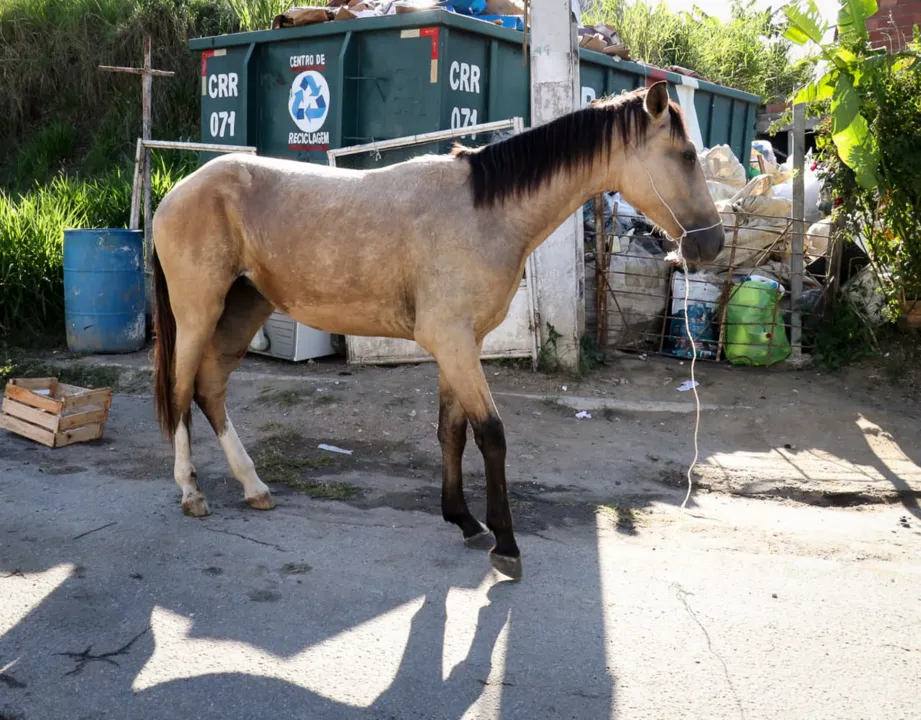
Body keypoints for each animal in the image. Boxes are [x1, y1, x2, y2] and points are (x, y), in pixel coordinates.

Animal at [153, 83, 724, 580]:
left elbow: (452, 431)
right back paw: (191, 493)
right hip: (198, 314)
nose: (712, 243)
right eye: (686, 156)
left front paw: (465, 521)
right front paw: (506, 545)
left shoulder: (462, 345)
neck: (483, 212)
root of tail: (177, 191)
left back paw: (253, 486)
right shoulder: (452, 342)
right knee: (181, 393)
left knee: (210, 390)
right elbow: (490, 435)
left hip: (244, 309)